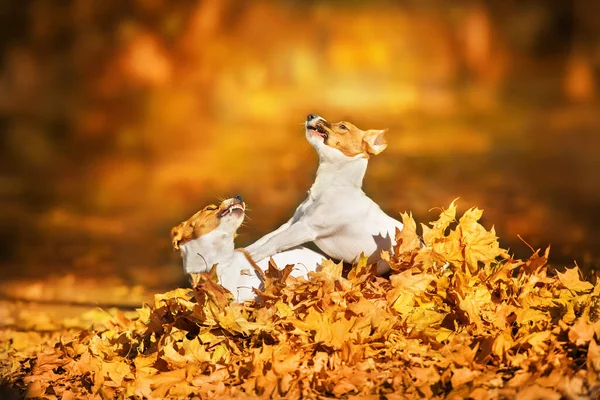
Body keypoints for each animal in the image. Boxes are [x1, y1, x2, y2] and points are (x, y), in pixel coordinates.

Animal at [246, 114, 406, 274]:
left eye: (343, 127)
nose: (311, 115)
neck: (332, 187)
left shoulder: (306, 227)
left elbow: (275, 240)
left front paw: (253, 257)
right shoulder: (293, 222)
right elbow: (266, 238)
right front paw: (247, 251)